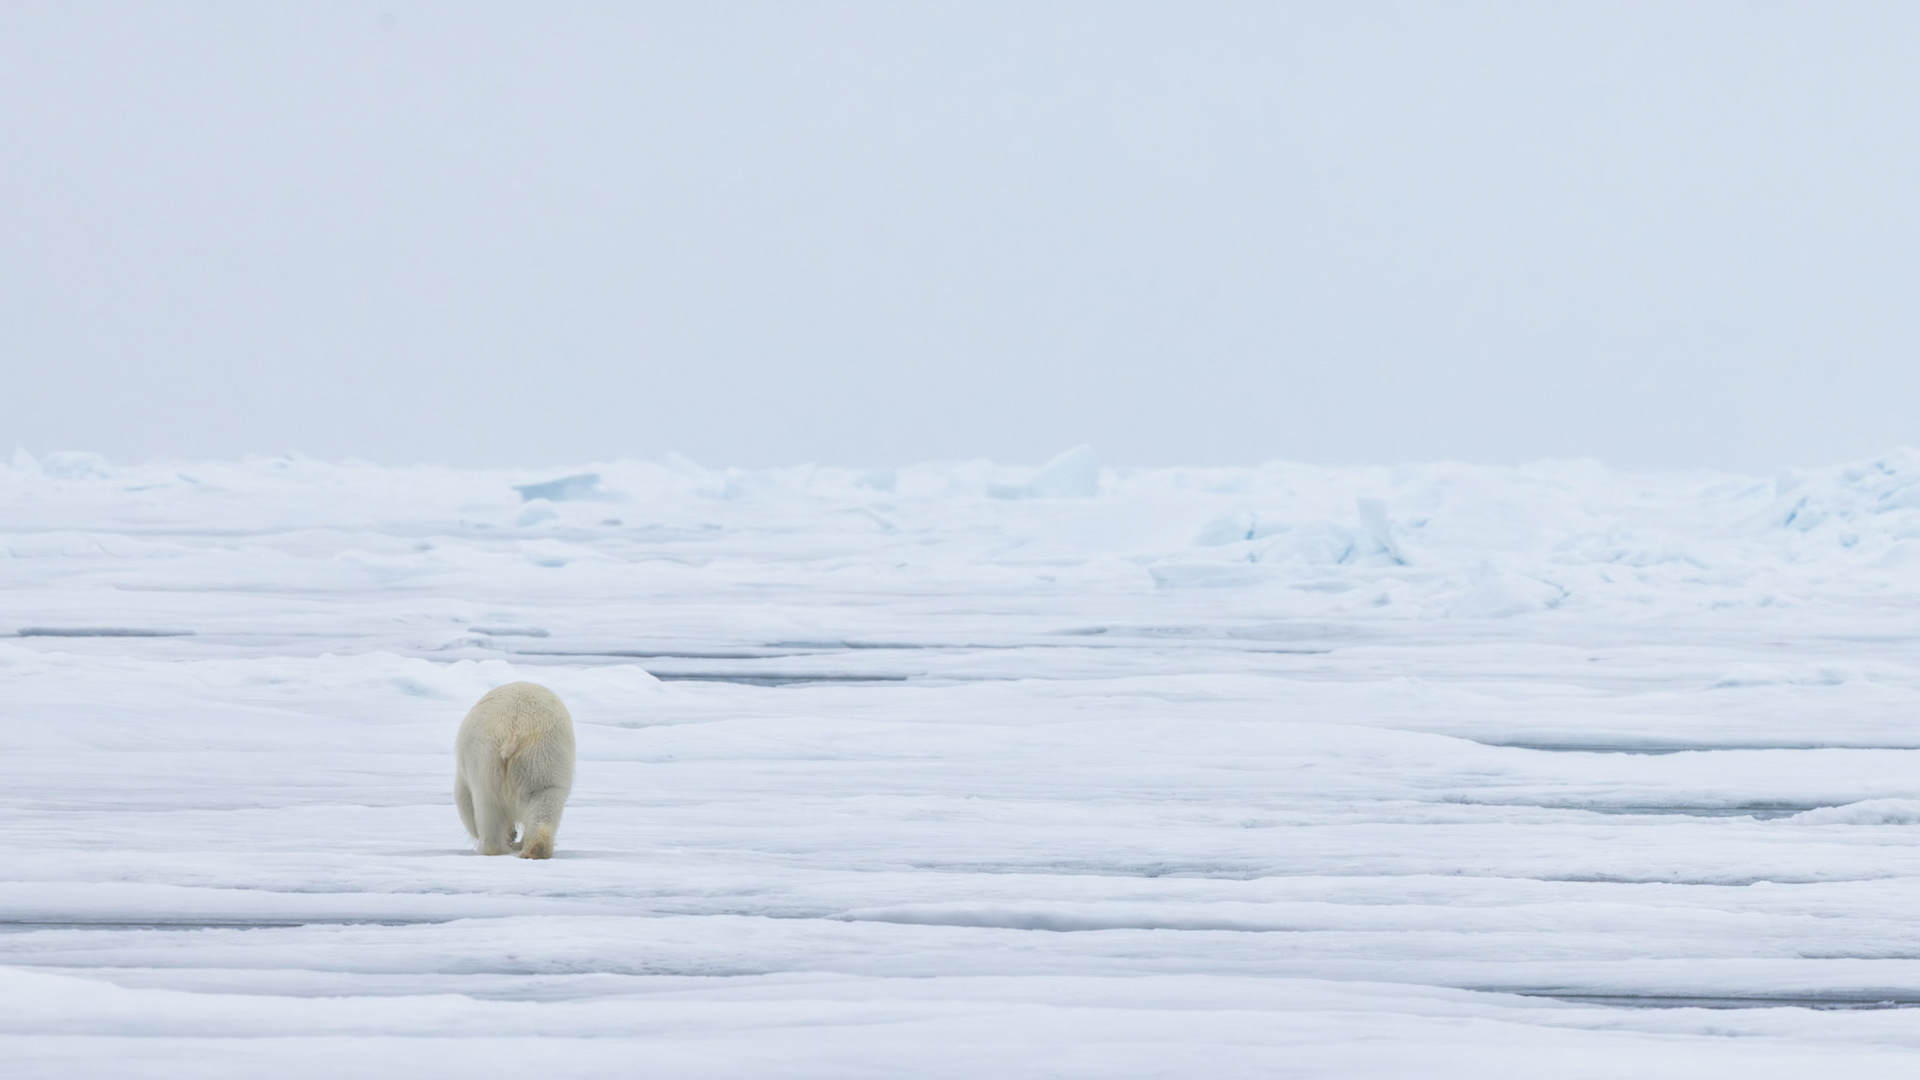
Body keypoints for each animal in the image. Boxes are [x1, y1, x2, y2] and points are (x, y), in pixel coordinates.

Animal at [454, 681, 576, 859]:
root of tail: (515, 729)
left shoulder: (465, 774)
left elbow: (465, 803)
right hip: (542, 761)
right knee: (545, 800)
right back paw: (534, 850)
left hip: (485, 762)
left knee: (487, 808)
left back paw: (494, 848)